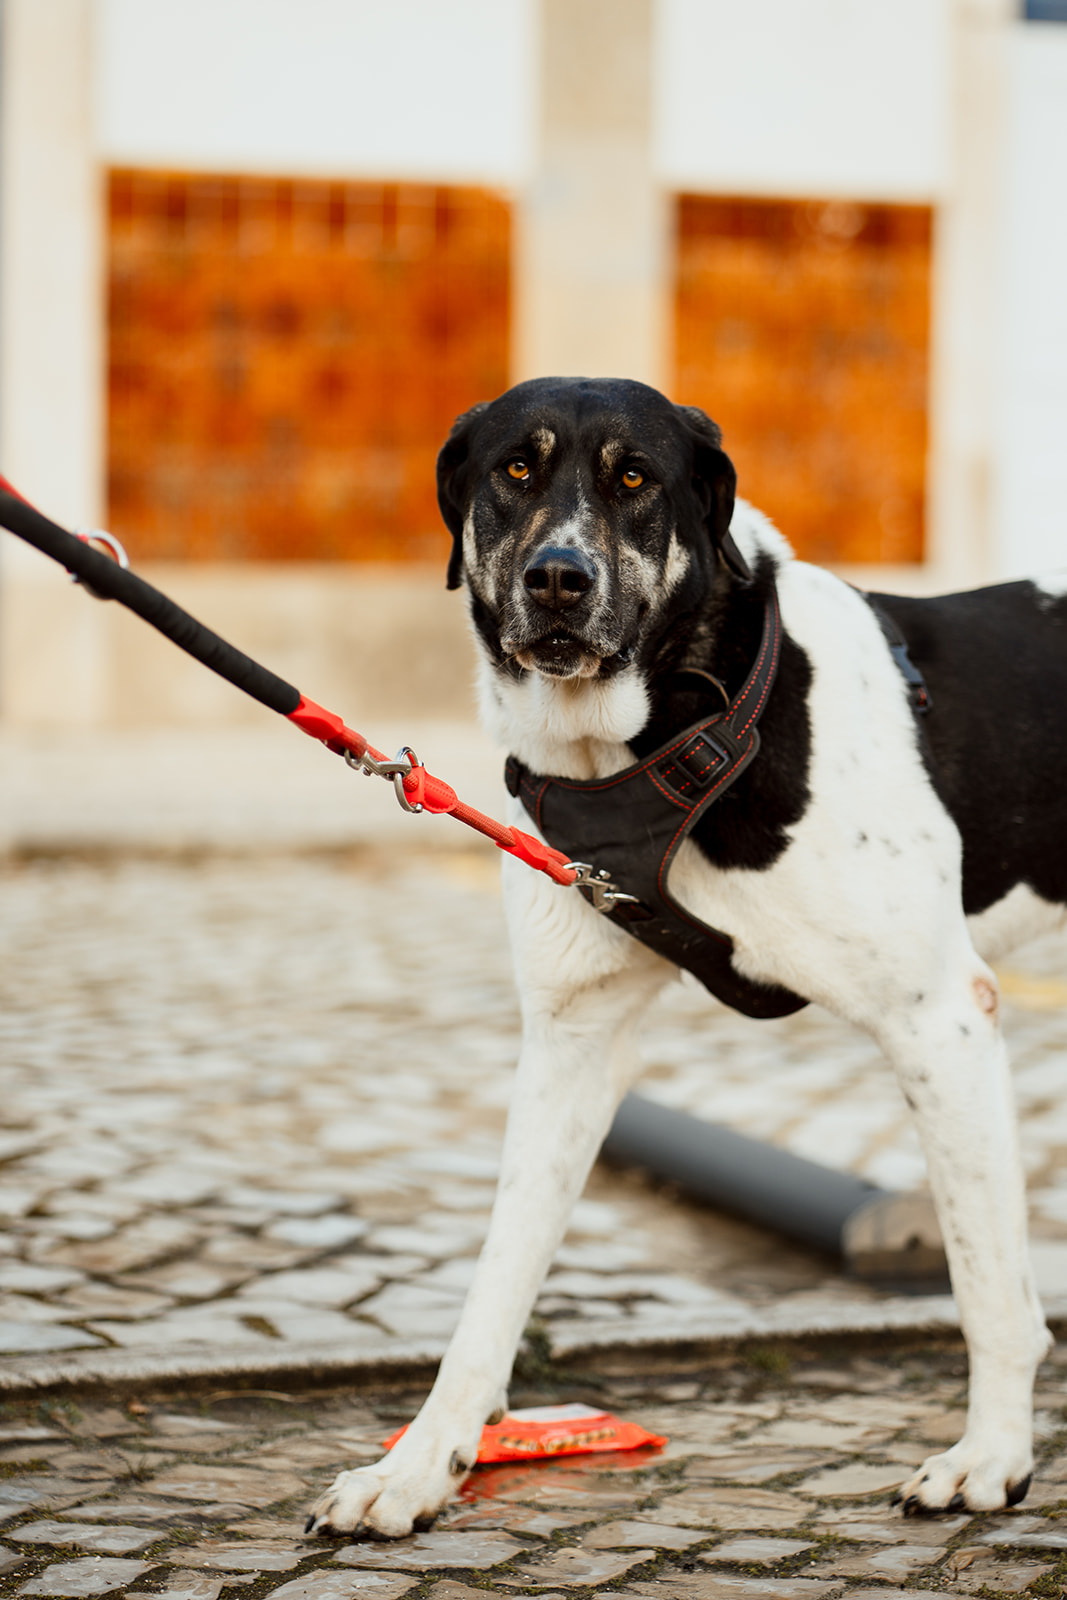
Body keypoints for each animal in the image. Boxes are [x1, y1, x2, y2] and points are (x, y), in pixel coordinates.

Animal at [307, 374, 1062, 1536]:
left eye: (635, 480)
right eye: (513, 470)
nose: (557, 578)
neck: (664, 738)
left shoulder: (939, 1019)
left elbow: (986, 1285)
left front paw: (990, 1458)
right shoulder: (573, 1039)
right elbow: (494, 1285)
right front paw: (421, 1465)